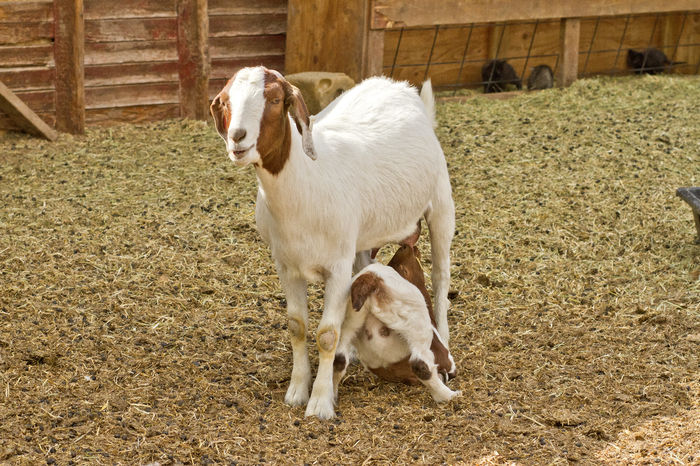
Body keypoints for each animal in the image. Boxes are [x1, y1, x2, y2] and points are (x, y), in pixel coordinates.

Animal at [334, 238, 460, 402]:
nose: (408, 246)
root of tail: (370, 280)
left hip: (350, 321)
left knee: (339, 359)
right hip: (414, 322)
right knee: (420, 364)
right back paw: (449, 395)